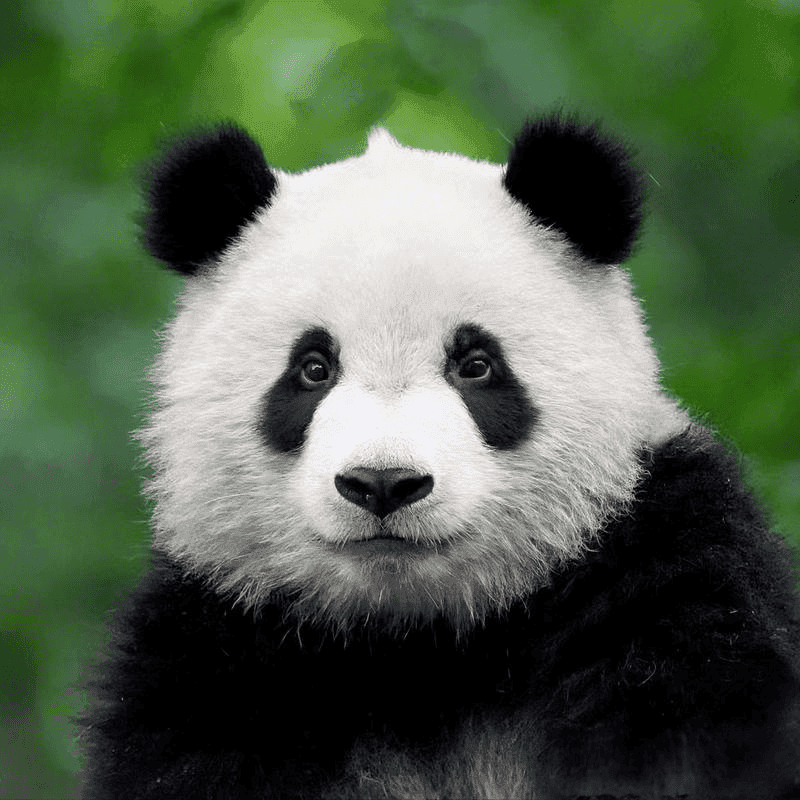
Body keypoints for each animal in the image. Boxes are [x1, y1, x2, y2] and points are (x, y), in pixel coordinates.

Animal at [80, 114, 800, 799]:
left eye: (475, 364)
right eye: (312, 368)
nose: (383, 484)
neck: (424, 646)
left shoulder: (663, 580)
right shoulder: (218, 652)